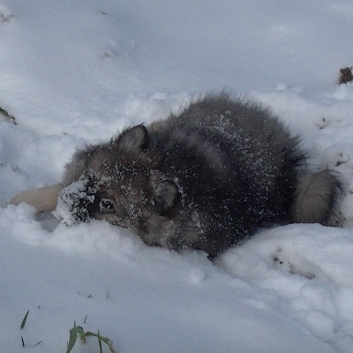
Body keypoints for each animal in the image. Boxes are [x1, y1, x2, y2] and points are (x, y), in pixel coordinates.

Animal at [11, 92, 340, 258]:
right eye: (89, 178)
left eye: (108, 205)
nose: (69, 201)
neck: (168, 167)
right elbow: (49, 190)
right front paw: (19, 201)